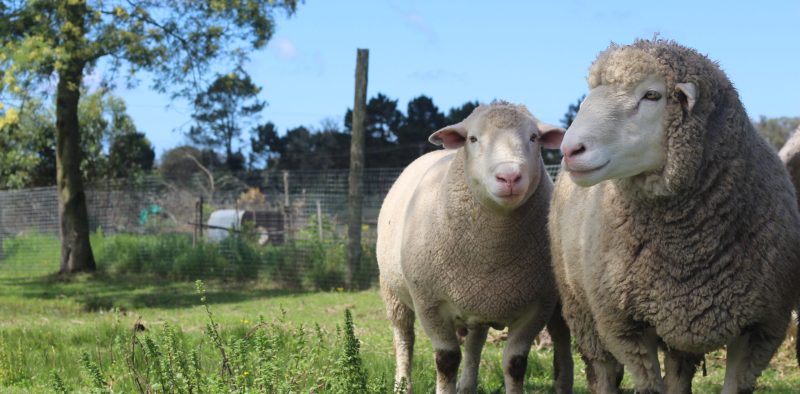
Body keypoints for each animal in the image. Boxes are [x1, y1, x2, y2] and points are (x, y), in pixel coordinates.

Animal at [378, 102, 572, 394]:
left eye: (533, 137)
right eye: (473, 139)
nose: (509, 176)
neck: (492, 251)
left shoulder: (538, 306)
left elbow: (515, 363)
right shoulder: (429, 303)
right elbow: (446, 360)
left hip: (479, 302)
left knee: (474, 343)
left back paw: (467, 385)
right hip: (392, 290)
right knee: (403, 338)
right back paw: (402, 384)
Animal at [552, 40, 800, 394]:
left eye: (652, 95)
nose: (570, 150)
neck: (688, 245)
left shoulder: (761, 326)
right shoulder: (626, 327)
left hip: (677, 323)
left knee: (678, 371)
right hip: (582, 307)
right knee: (602, 370)